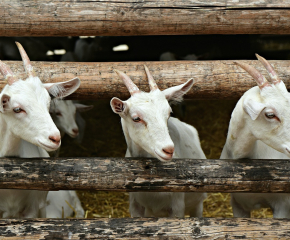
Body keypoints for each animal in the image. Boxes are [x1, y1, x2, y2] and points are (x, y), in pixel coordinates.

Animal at [110, 65, 207, 218]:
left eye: (169, 113)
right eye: (136, 118)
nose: (168, 149)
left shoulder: (177, 206)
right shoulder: (135, 205)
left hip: (198, 204)